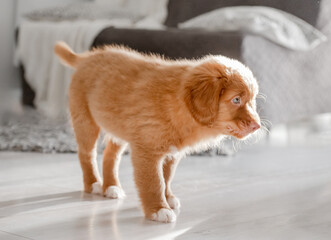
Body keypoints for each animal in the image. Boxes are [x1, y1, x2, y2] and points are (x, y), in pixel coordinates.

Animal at [55, 41, 262, 223]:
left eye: (252, 100)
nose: (257, 126)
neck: (178, 104)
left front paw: (167, 198)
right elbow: (155, 182)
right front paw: (159, 210)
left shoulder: (171, 153)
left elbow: (166, 178)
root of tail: (86, 58)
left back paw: (111, 186)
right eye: (236, 100)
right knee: (86, 154)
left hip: (118, 128)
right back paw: (94, 184)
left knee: (110, 155)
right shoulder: (147, 151)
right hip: (86, 122)